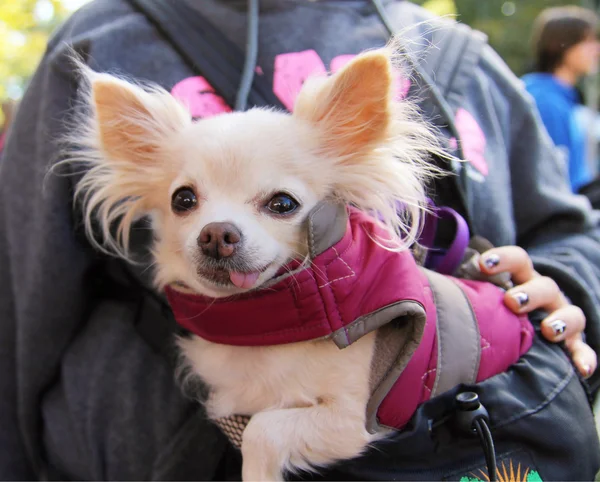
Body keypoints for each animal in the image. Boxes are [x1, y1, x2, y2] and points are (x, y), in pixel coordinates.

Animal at [67, 47, 446, 480]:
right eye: (183, 199)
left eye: (283, 204)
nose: (216, 234)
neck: (262, 326)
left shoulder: (357, 418)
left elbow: (263, 429)